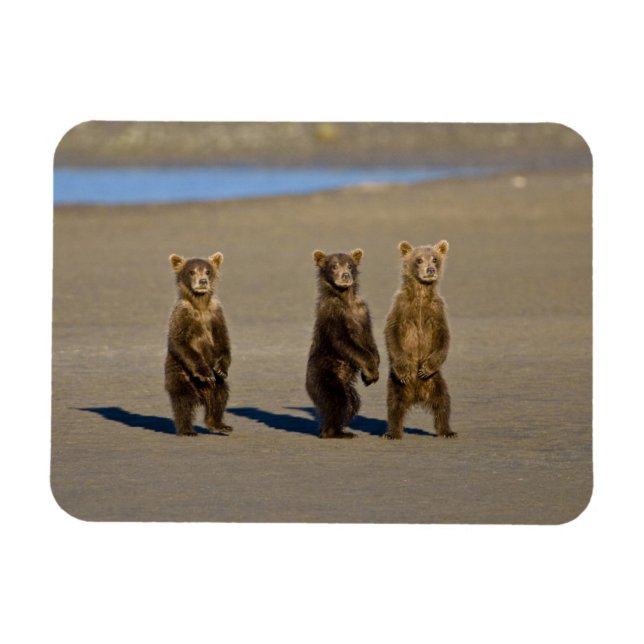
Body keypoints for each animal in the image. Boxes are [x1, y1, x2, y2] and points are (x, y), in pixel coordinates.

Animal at [164, 252, 232, 436]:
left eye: (208, 271)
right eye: (192, 271)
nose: (202, 281)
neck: (200, 305)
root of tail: (201, 395)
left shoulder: (215, 315)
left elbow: (223, 341)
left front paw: (220, 369)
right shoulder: (182, 316)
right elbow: (180, 342)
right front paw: (205, 373)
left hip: (217, 386)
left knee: (220, 396)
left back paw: (220, 424)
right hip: (180, 376)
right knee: (183, 403)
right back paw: (186, 429)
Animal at [305, 248, 380, 438]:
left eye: (350, 265)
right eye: (334, 266)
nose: (345, 275)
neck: (345, 298)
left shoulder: (362, 312)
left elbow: (369, 340)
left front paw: (371, 373)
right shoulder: (333, 315)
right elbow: (345, 343)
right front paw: (371, 370)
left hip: (346, 386)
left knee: (352, 402)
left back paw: (341, 428)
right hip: (324, 376)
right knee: (336, 401)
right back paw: (333, 432)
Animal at [383, 240, 456, 440]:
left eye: (435, 258)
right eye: (419, 260)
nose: (430, 269)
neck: (421, 294)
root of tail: (416, 395)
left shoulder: (436, 311)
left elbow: (444, 337)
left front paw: (425, 368)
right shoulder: (401, 308)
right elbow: (391, 333)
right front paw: (404, 369)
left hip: (436, 382)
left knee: (442, 403)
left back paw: (447, 431)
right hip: (396, 385)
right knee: (394, 405)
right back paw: (392, 432)